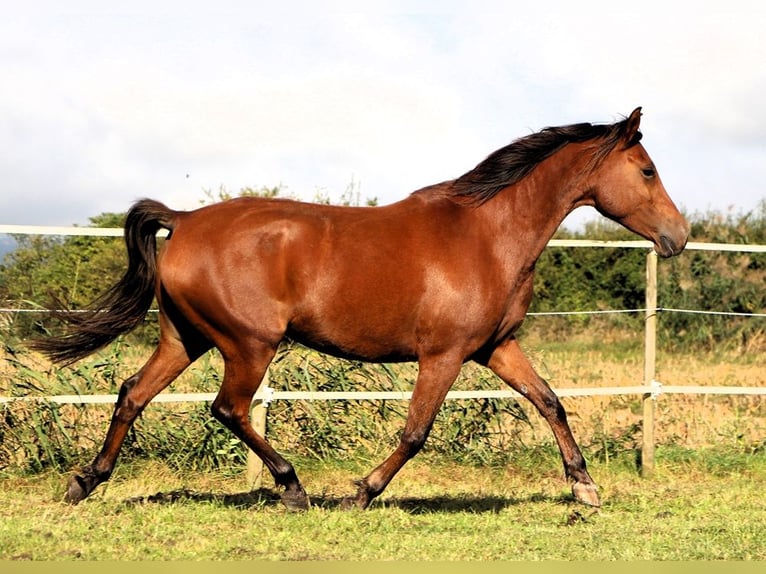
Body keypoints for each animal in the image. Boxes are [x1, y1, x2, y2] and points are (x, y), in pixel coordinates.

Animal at [31, 109, 688, 512]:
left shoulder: (496, 347)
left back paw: (85, 482)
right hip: (248, 344)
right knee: (228, 408)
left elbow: (550, 401)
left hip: (183, 339)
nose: (678, 237)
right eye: (647, 170)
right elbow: (417, 431)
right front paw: (361, 493)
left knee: (132, 393)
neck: (487, 234)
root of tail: (186, 220)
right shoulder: (445, 354)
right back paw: (293, 488)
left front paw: (585, 488)